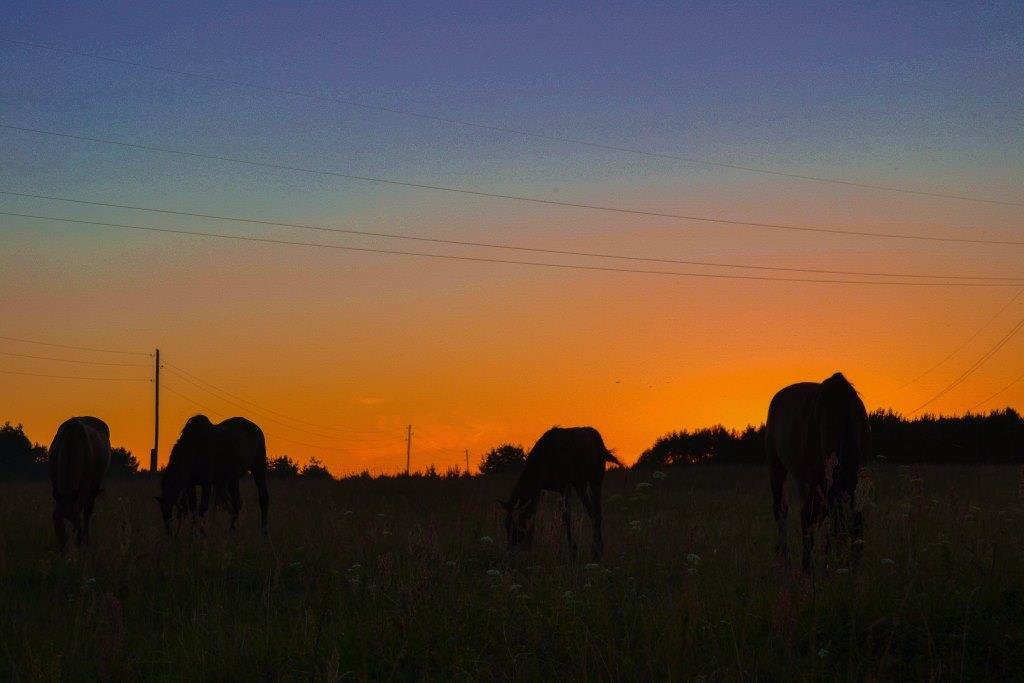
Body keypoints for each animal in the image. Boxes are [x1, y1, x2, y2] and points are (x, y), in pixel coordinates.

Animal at [48, 417, 111, 548]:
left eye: (75, 518)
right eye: (55, 518)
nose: (64, 547)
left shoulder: (84, 486)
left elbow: (82, 508)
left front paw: (79, 539)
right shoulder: (55, 483)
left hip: (94, 487)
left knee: (88, 510)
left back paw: (86, 537)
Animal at [497, 428, 622, 561]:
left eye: (516, 525)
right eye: (506, 525)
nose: (511, 550)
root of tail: (602, 446)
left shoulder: (564, 485)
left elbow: (566, 517)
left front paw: (572, 551)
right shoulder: (542, 488)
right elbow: (534, 514)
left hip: (595, 479)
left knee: (598, 513)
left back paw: (597, 552)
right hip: (580, 484)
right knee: (592, 512)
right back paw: (596, 550)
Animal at [765, 374, 868, 573]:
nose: (846, 567)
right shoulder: (819, 481)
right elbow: (807, 516)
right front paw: (807, 566)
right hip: (777, 467)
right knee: (780, 509)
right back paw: (783, 554)